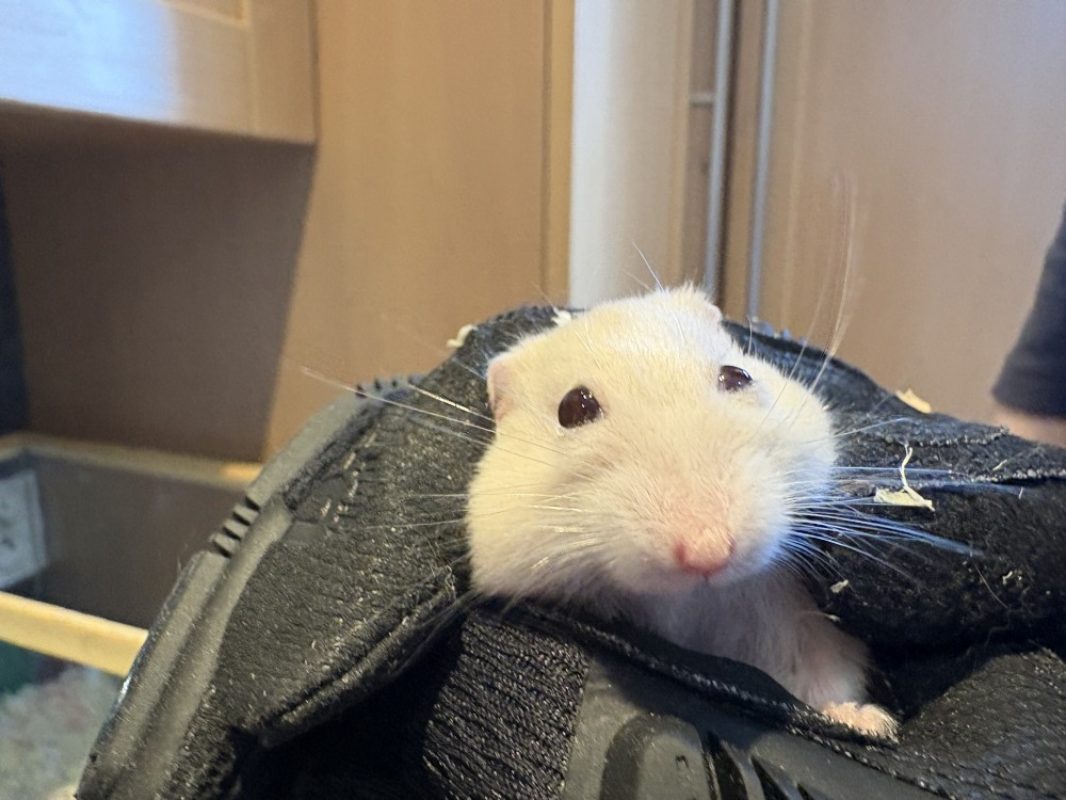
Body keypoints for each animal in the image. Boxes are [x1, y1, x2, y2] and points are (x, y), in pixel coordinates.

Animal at [465, 286, 897, 737]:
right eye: (572, 408)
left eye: (737, 376)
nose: (709, 552)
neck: (697, 599)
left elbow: (825, 680)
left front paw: (872, 723)